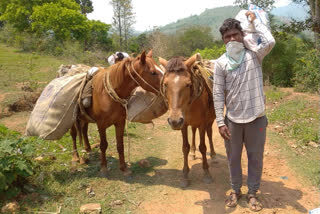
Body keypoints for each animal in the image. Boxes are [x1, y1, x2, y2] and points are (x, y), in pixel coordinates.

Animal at [159, 54, 216, 187]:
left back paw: (214, 155)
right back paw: (193, 153)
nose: (174, 121)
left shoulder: (203, 123)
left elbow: (203, 147)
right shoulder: (183, 125)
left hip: (210, 120)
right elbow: (185, 147)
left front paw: (207, 173)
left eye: (188, 84)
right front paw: (185, 175)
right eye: (165, 84)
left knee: (209, 134)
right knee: (194, 132)